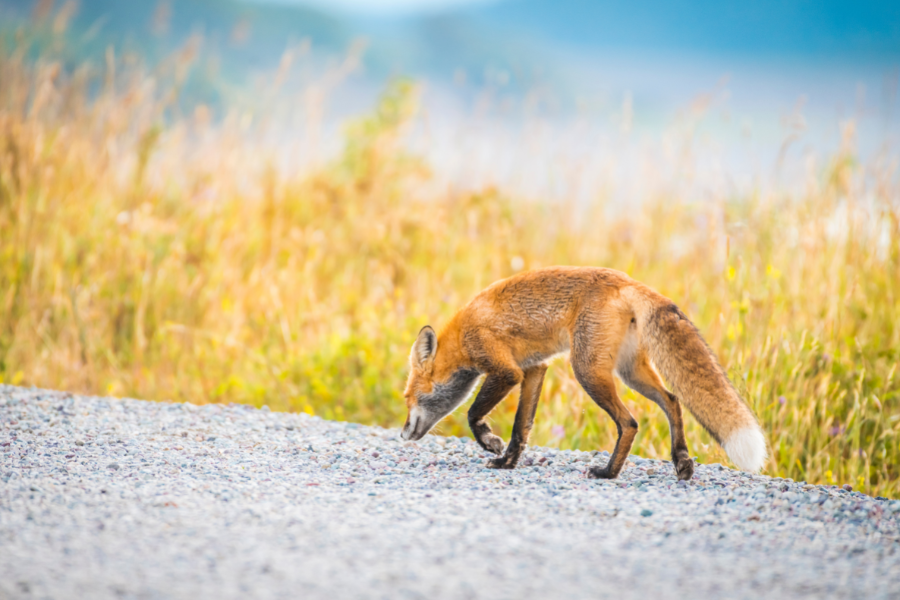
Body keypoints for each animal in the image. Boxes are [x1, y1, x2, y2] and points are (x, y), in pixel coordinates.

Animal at [400, 264, 768, 480]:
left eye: (407, 397)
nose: (402, 434)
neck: (462, 335)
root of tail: (626, 280)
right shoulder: (534, 369)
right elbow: (522, 427)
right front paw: (508, 462)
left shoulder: (506, 371)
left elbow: (473, 414)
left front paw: (491, 443)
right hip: (629, 371)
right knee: (673, 400)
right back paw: (681, 460)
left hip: (588, 371)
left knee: (629, 423)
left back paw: (609, 472)